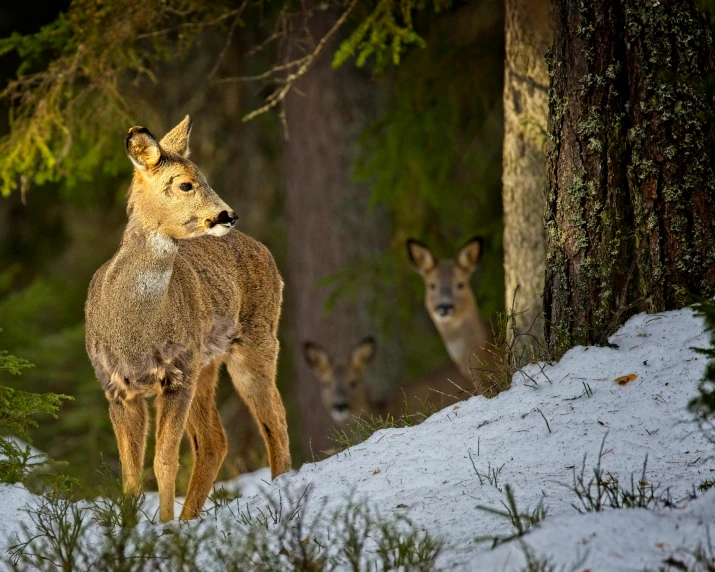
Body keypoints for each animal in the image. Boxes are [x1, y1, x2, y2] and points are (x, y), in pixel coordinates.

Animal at [86, 116, 290, 524]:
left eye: (205, 176)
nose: (229, 215)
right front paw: (128, 531)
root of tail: (264, 251)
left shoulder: (176, 375)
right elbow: (130, 474)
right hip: (205, 363)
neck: (134, 332)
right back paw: (190, 518)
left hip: (256, 340)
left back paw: (282, 491)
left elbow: (164, 462)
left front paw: (163, 526)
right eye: (185, 183)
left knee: (275, 418)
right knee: (215, 441)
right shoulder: (116, 388)